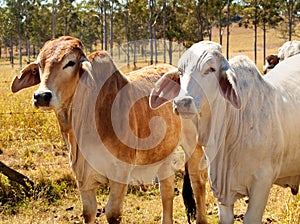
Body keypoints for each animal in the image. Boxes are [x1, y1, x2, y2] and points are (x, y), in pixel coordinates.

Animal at [9, 36, 209, 223]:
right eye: (40, 64)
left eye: (70, 62)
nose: (41, 96)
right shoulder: (82, 177)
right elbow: (88, 212)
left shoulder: (120, 174)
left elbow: (113, 213)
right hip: (163, 154)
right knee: (167, 191)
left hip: (194, 147)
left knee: (198, 183)